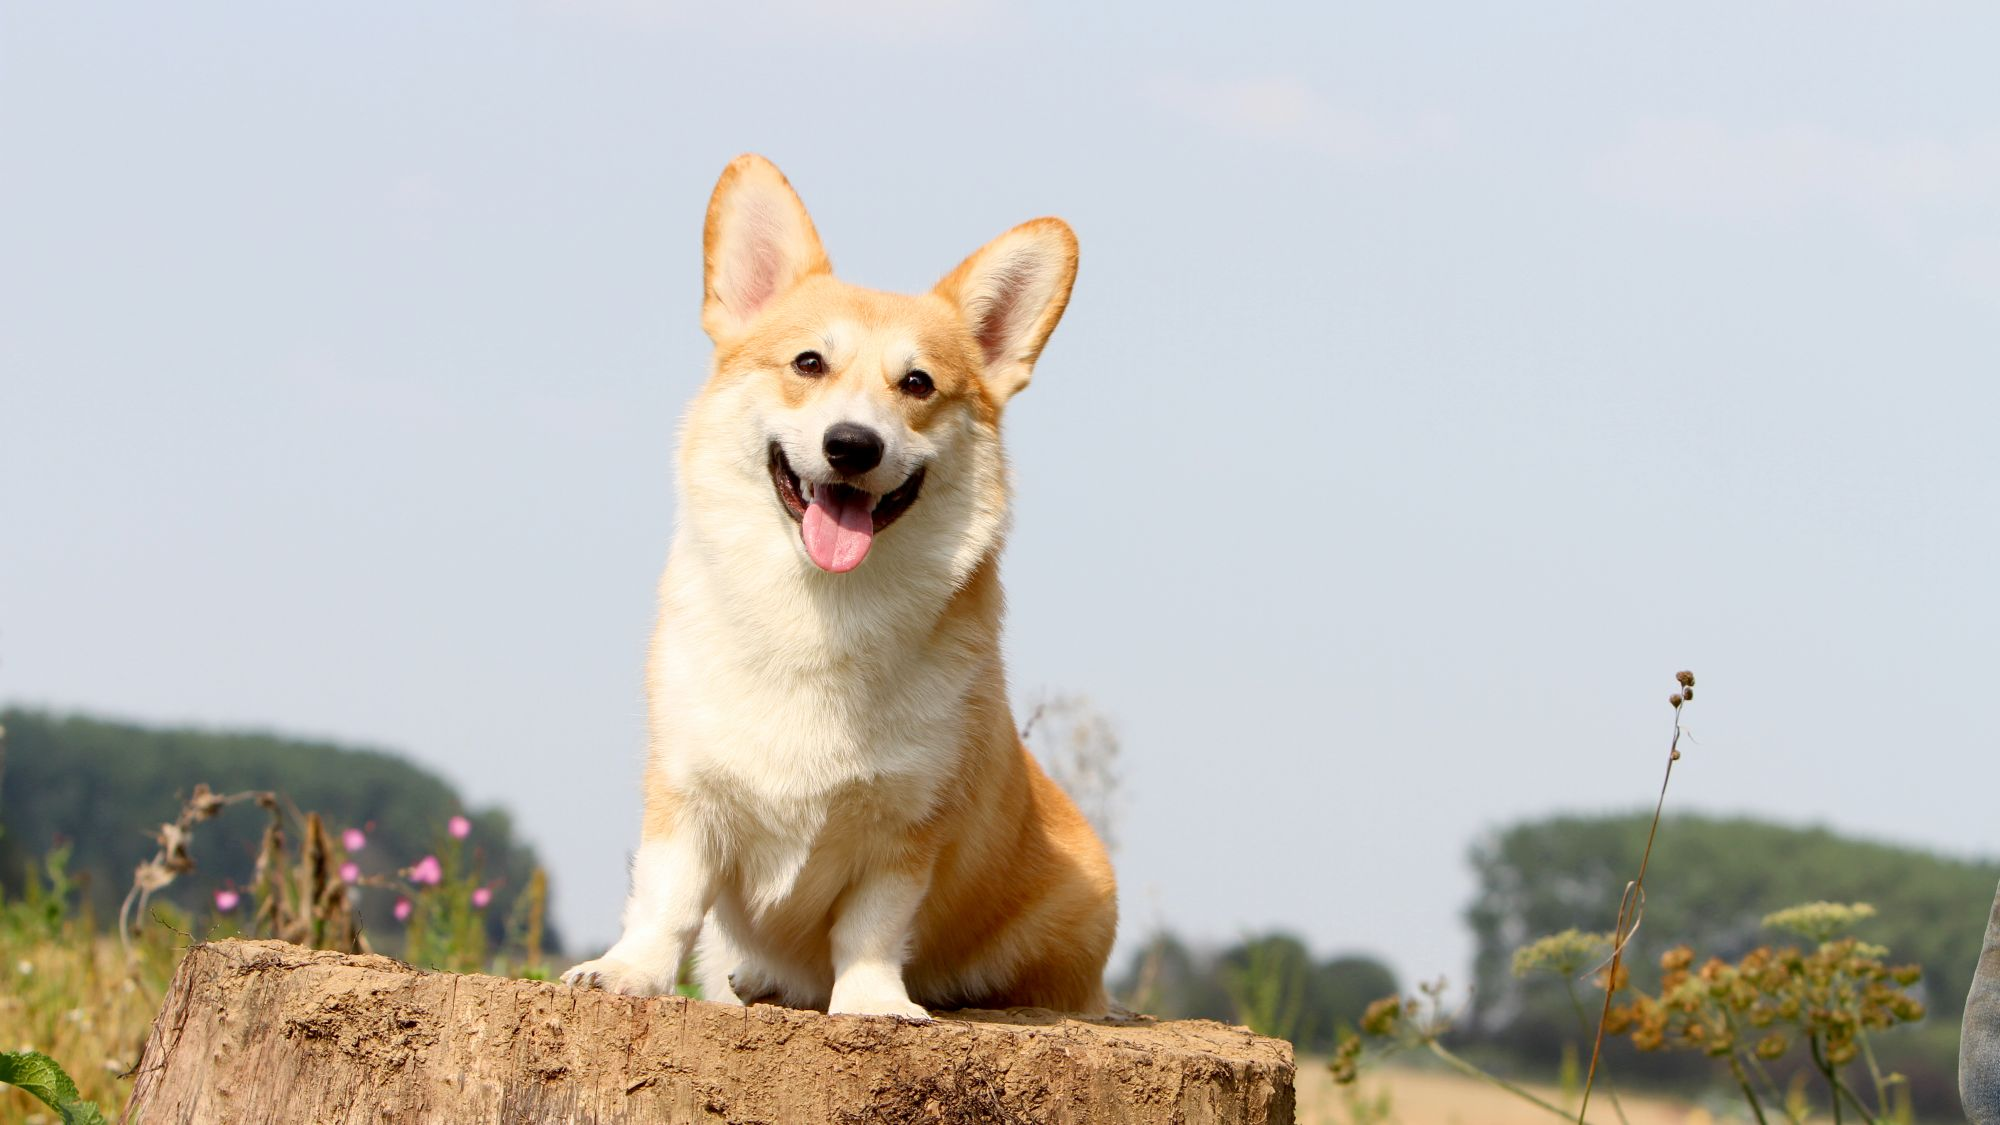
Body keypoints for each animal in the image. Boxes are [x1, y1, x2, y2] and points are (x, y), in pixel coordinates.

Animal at [564, 153, 1120, 1012]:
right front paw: (628, 970)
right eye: (808, 363)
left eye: (918, 384)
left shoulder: (907, 827)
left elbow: (871, 927)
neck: (820, 609)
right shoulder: (685, 794)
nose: (852, 445)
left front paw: (874, 1004)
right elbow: (666, 896)